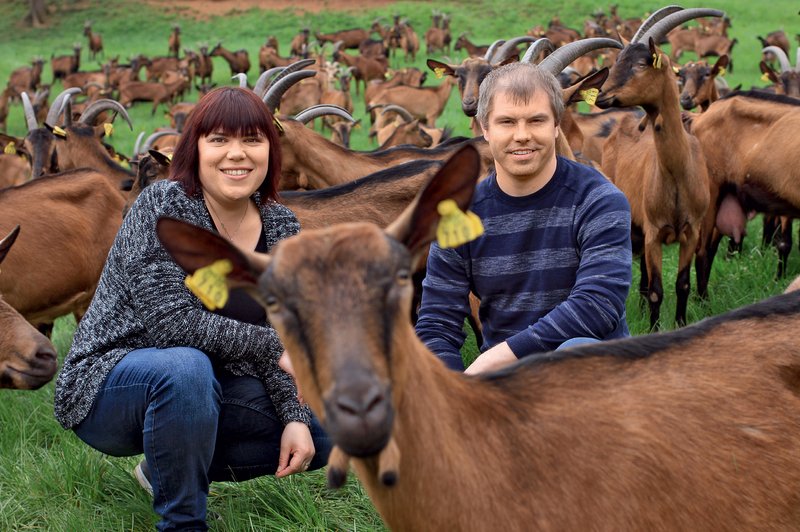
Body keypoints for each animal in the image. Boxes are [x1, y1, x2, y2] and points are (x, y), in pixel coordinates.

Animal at [592, 6, 720, 326]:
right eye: (616, 61)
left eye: (640, 64)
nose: (602, 96)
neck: (678, 173)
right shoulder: (653, 233)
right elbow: (656, 290)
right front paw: (654, 329)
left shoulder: (692, 231)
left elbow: (682, 284)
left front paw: (680, 323)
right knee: (644, 275)